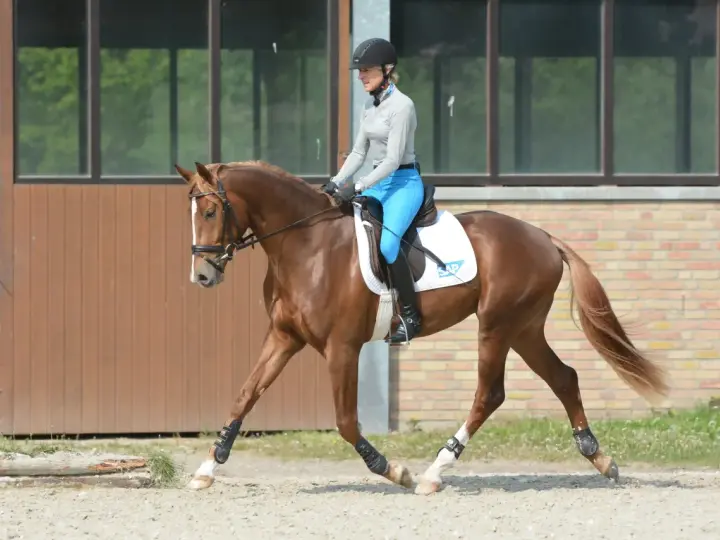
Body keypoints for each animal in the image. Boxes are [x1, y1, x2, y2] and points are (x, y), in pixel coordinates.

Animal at [174, 160, 668, 495]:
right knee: (564, 377)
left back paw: (433, 472)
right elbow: (245, 395)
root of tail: (544, 238)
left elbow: (346, 422)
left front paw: (394, 470)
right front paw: (207, 468)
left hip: (497, 326)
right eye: (192, 213)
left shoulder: (342, 348)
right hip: (524, 328)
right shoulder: (283, 337)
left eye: (212, 212)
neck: (306, 246)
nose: (202, 276)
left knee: (490, 394)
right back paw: (600, 459)